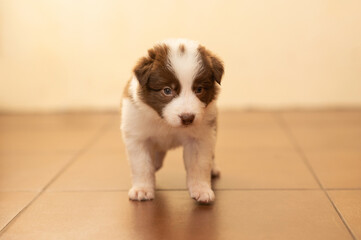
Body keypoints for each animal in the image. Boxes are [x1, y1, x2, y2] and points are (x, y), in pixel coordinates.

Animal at [119, 39, 224, 202]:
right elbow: (141, 165)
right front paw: (142, 189)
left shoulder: (200, 137)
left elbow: (200, 164)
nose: (187, 118)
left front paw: (201, 189)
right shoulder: (137, 136)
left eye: (199, 89)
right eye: (167, 90)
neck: (166, 123)